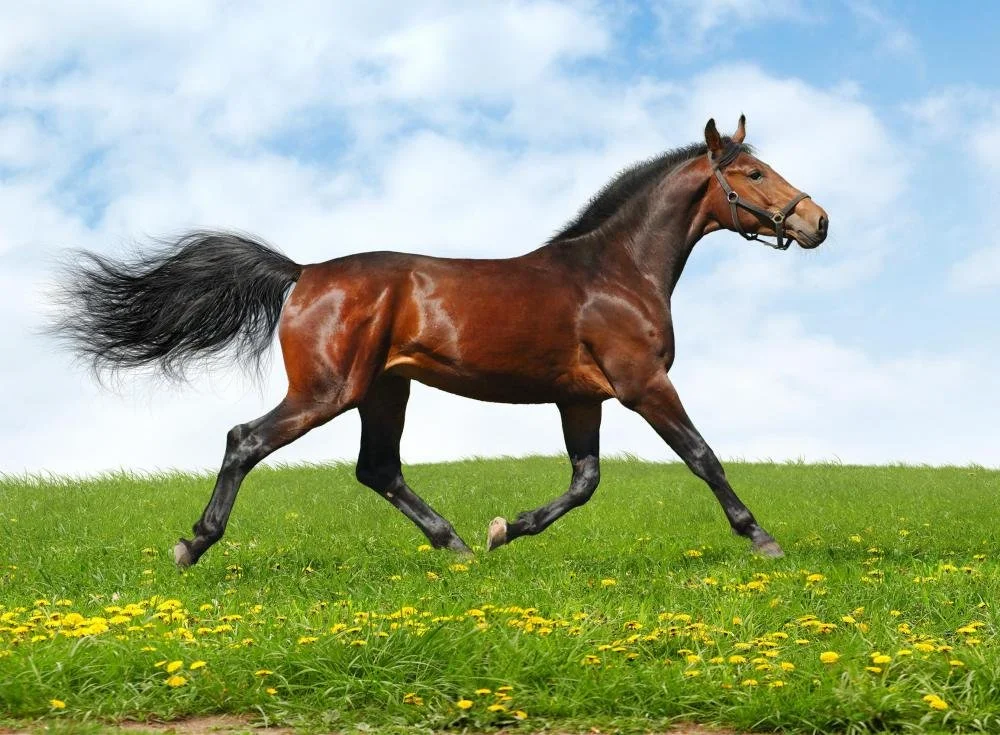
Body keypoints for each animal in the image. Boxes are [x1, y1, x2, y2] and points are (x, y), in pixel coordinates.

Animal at [53, 116, 828, 567]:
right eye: (752, 173)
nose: (817, 220)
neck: (614, 270)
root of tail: (302, 273)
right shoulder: (644, 385)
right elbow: (703, 456)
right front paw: (763, 539)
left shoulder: (582, 399)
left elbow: (584, 482)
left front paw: (505, 529)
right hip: (327, 390)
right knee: (245, 439)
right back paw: (193, 545)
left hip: (383, 390)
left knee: (378, 469)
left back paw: (455, 543)